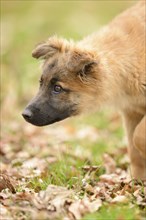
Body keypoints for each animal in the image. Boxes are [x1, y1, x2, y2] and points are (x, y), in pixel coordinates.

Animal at [22, 0, 145, 180]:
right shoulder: (132, 112)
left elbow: (138, 137)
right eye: (41, 83)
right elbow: (134, 151)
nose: (25, 115)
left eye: (57, 88)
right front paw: (137, 183)